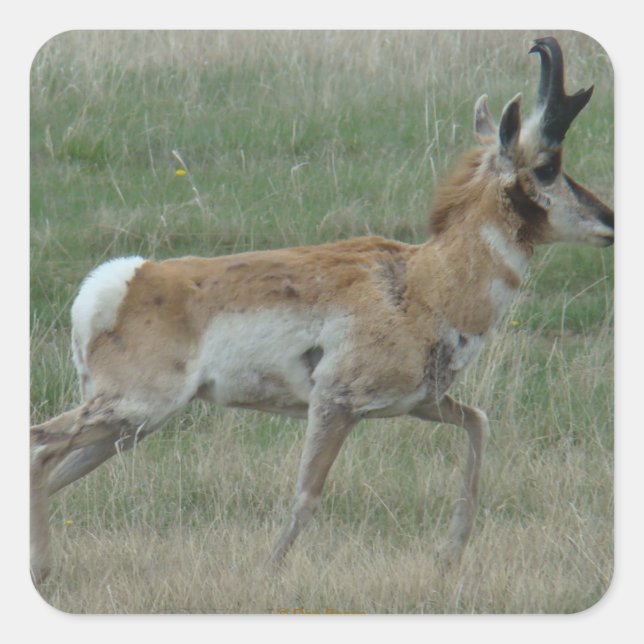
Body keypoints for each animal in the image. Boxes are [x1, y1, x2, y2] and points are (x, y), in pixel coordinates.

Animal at [30, 36, 614, 582]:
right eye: (548, 166)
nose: (609, 219)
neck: (424, 282)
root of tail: (125, 281)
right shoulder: (335, 404)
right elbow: (307, 493)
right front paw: (265, 573)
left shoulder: (418, 402)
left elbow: (479, 423)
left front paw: (451, 555)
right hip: (135, 410)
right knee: (39, 447)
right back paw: (42, 568)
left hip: (129, 427)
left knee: (52, 466)